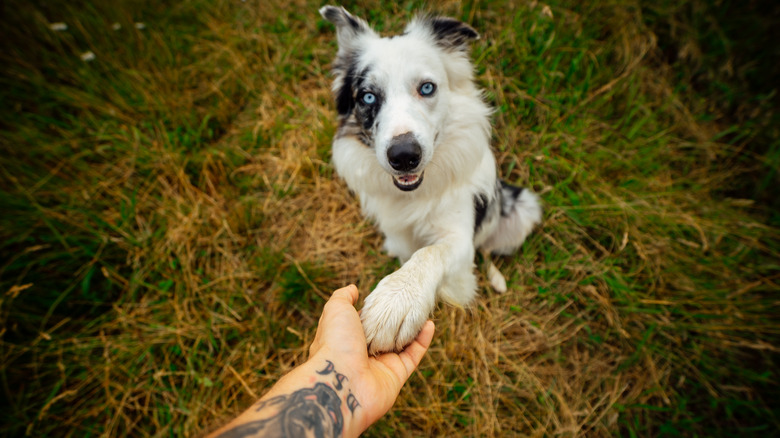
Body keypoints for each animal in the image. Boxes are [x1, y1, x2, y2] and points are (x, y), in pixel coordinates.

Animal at [318, 6, 544, 356]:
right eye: (367, 97)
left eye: (427, 88)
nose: (404, 156)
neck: (417, 193)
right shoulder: (398, 234)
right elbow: (410, 253)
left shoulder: (459, 235)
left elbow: (431, 253)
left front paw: (396, 301)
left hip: (522, 208)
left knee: (487, 249)